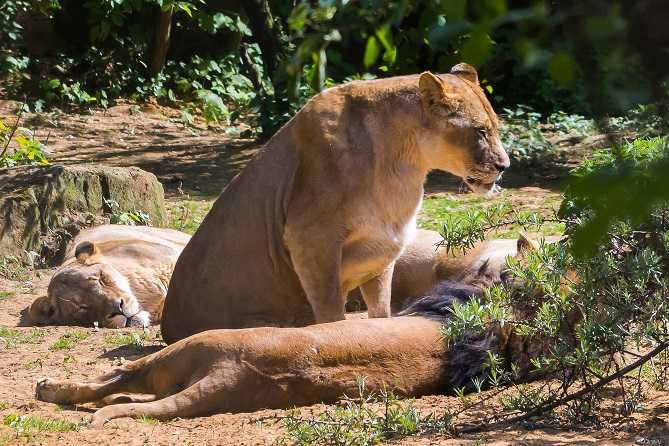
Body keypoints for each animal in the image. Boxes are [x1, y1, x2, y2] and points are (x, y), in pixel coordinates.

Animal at [160, 62, 506, 344]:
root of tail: (167, 325)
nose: (505, 165)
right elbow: (329, 309)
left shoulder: (381, 247)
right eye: (480, 130)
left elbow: (381, 305)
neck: (404, 164)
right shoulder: (310, 239)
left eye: (495, 127)